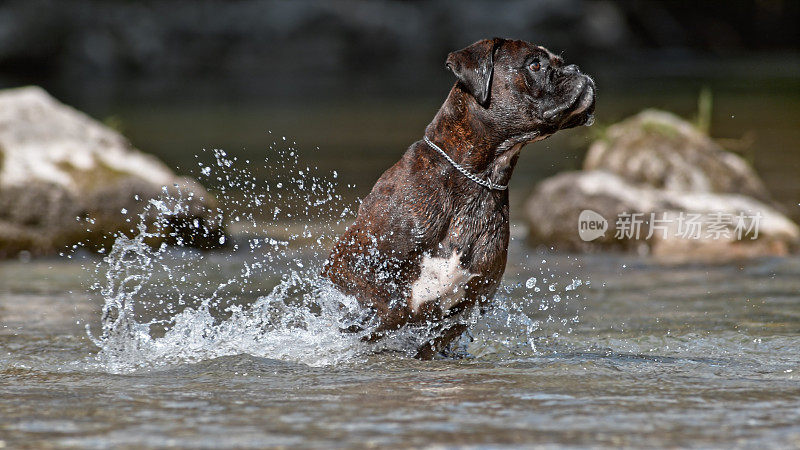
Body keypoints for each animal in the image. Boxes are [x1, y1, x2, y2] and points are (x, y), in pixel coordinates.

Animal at [320, 37, 592, 358]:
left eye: (560, 62)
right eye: (535, 64)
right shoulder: (348, 265)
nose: (576, 69)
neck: (478, 178)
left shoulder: (470, 304)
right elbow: (392, 307)